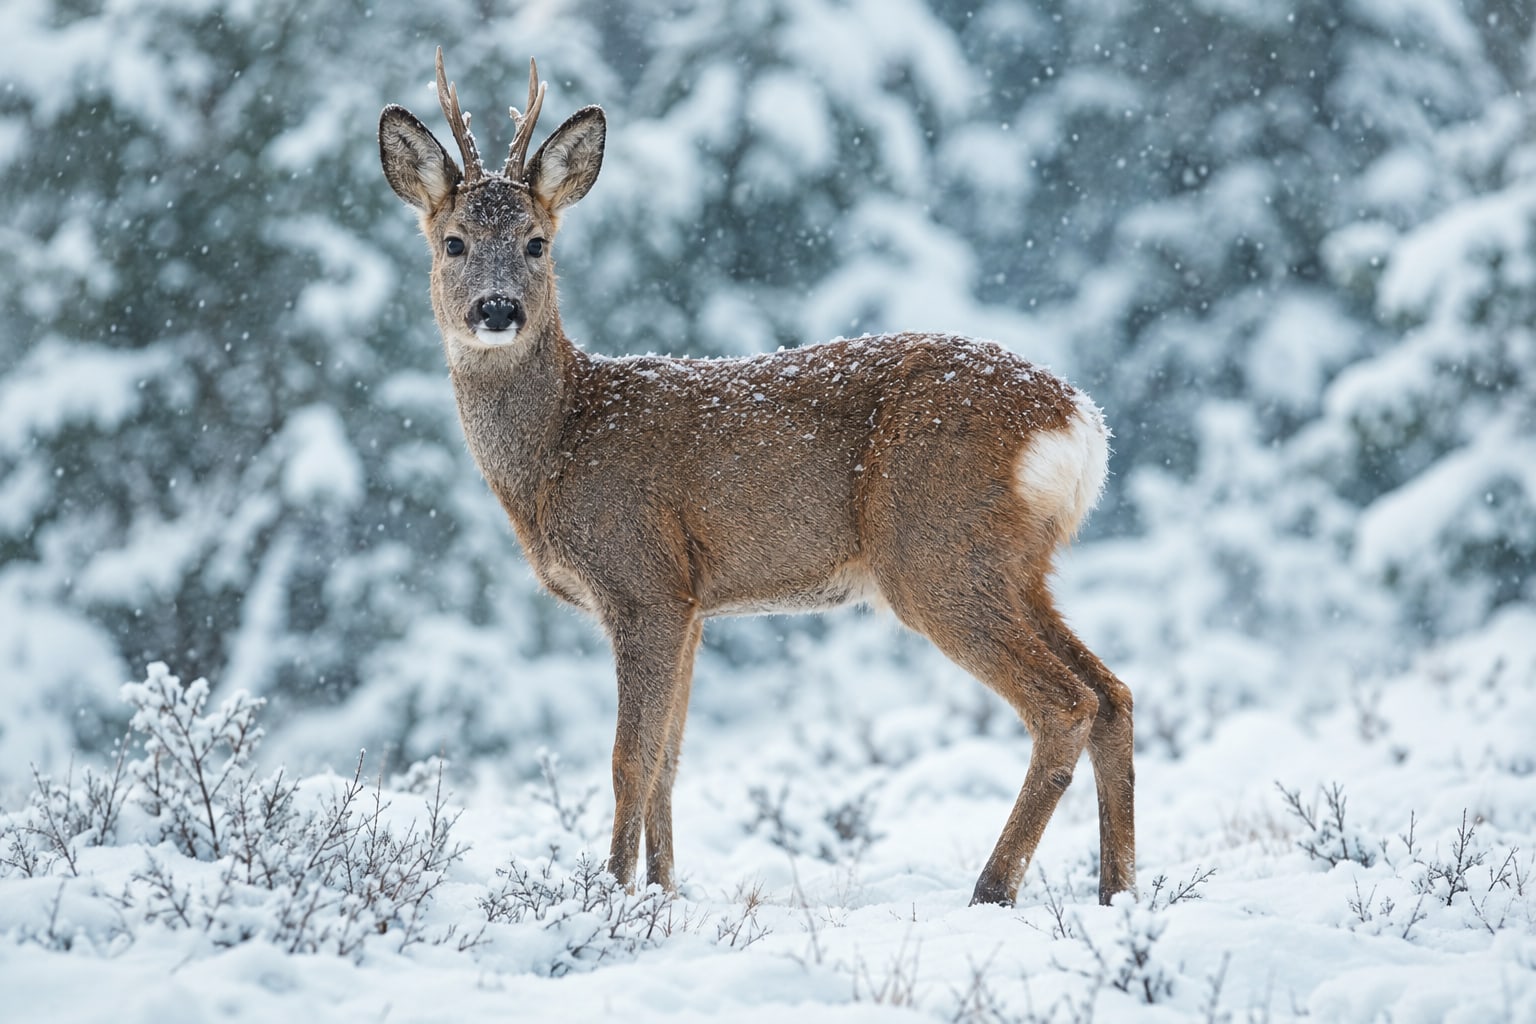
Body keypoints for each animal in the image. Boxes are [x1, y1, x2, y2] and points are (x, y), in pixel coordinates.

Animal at [378, 50, 1134, 908]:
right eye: (453, 243)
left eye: (538, 243)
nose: (498, 310)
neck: (561, 443)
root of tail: (1077, 420)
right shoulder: (694, 603)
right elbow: (670, 761)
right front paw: (664, 893)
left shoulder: (642, 580)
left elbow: (629, 759)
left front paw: (609, 895)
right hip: (1017, 562)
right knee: (1115, 694)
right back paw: (1117, 892)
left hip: (935, 551)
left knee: (1066, 702)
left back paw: (992, 890)